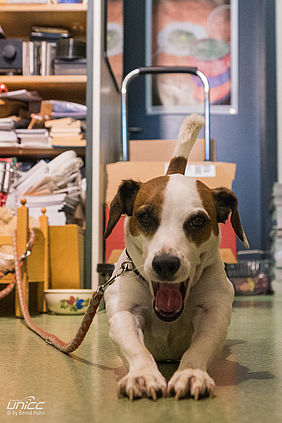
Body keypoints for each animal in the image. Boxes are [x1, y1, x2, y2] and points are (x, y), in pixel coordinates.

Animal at [104, 115, 249, 400]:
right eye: (144, 217)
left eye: (197, 221)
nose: (165, 264)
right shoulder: (125, 313)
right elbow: (136, 348)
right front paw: (142, 374)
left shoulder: (213, 313)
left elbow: (200, 346)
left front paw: (191, 373)